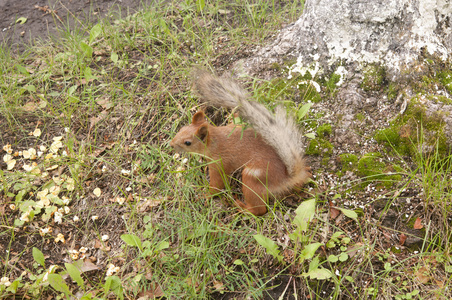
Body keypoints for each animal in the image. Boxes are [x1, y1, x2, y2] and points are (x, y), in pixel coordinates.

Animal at [170, 70, 310, 216]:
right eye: (181, 129)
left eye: (187, 142)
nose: (171, 144)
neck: (215, 141)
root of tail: (286, 178)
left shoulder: (219, 163)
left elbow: (217, 184)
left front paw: (205, 195)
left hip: (252, 177)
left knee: (259, 210)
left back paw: (242, 207)